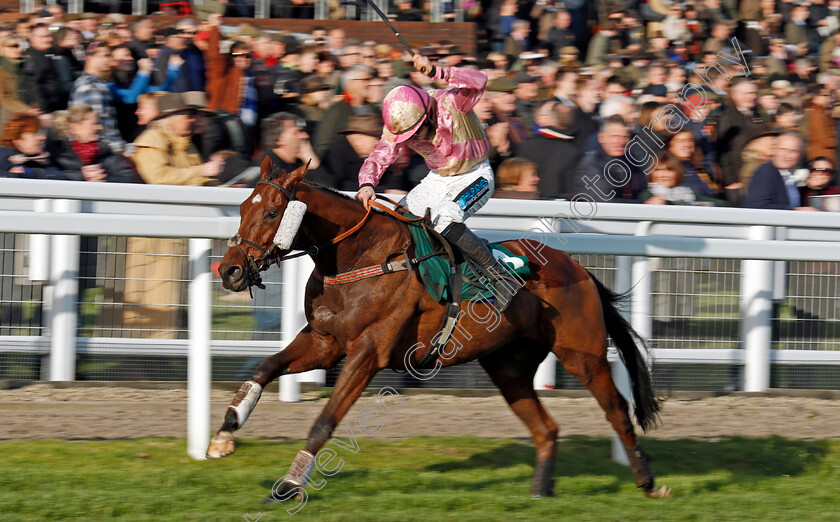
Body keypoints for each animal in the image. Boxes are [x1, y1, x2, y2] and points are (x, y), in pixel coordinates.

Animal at [205, 156, 668, 498]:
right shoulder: (324, 342)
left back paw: (647, 481)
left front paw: (289, 484)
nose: (229, 271)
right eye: (242, 207)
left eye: (271, 212)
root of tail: (580, 269)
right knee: (546, 428)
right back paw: (541, 491)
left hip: (582, 353)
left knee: (617, 410)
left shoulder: (367, 353)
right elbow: (263, 368)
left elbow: (325, 420)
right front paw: (226, 431)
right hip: (509, 367)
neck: (362, 257)